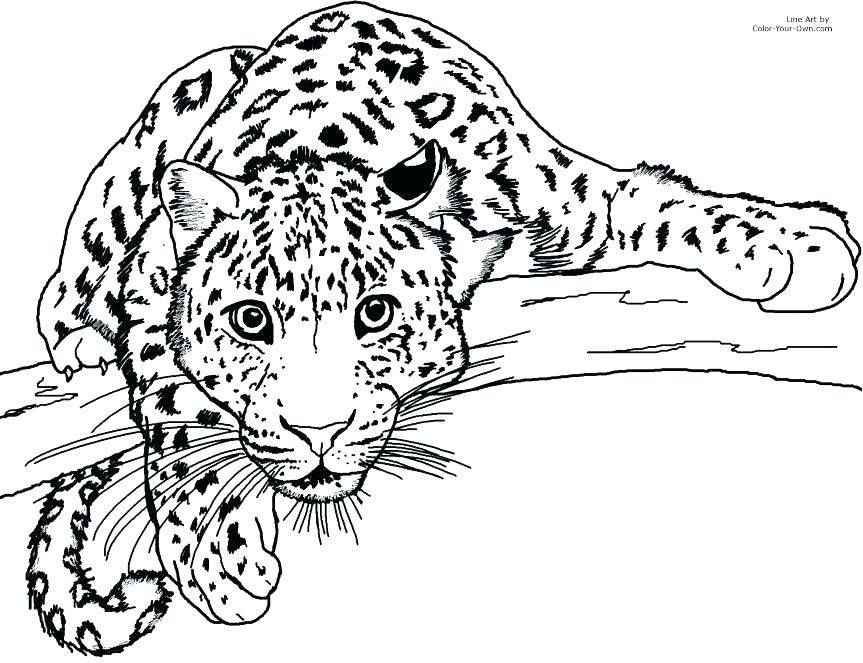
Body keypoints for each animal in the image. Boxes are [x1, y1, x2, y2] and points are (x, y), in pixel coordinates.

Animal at [27, 1, 859, 655]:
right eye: (250, 320)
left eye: (374, 313)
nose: (317, 431)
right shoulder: (149, 271)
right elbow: (174, 399)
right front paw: (217, 550)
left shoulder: (576, 201)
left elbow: (670, 205)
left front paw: (794, 242)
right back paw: (75, 337)